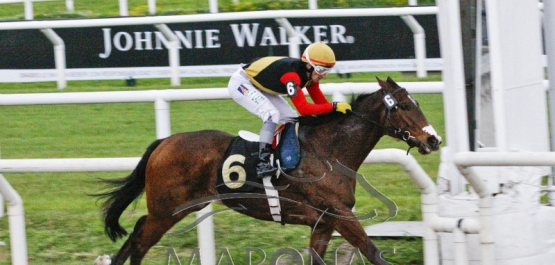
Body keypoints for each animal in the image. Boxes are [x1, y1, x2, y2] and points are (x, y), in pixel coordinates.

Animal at [95, 77, 444, 264]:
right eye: (404, 106)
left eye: (416, 103)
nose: (433, 139)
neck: (328, 150)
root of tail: (165, 142)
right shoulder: (340, 214)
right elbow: (373, 252)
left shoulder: (323, 221)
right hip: (167, 209)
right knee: (140, 240)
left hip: (173, 208)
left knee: (137, 234)